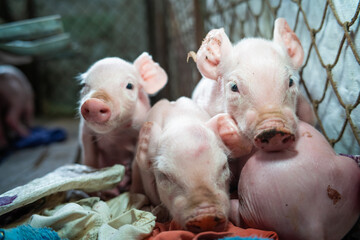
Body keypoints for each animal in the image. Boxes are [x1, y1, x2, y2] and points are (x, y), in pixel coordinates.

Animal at [79, 53, 167, 194]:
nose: (94, 103)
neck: (116, 132)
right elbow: (89, 162)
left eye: (129, 86)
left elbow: (136, 166)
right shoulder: (85, 133)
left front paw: (134, 193)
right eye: (84, 85)